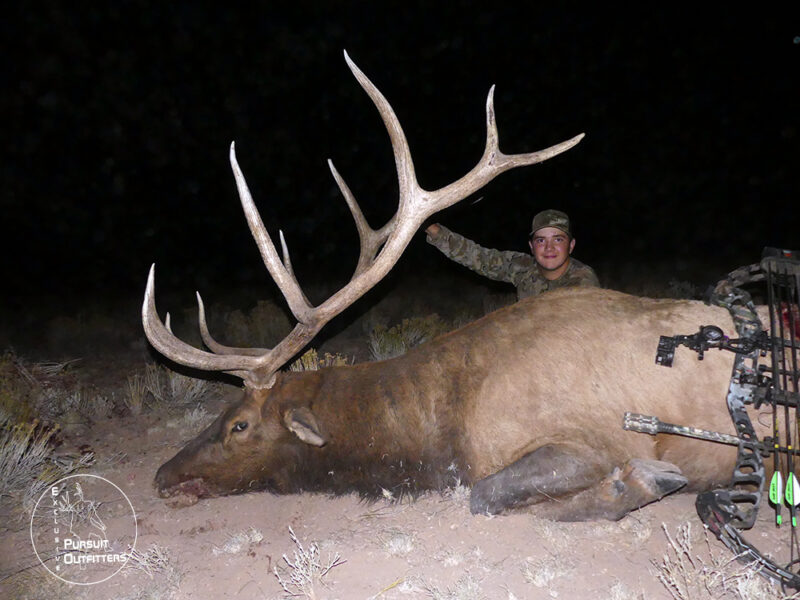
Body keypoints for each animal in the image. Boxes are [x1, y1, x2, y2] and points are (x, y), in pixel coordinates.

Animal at [145, 51, 756, 520]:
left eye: (239, 424)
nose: (162, 475)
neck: (441, 431)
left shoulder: (592, 441)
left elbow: (485, 493)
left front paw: (641, 483)